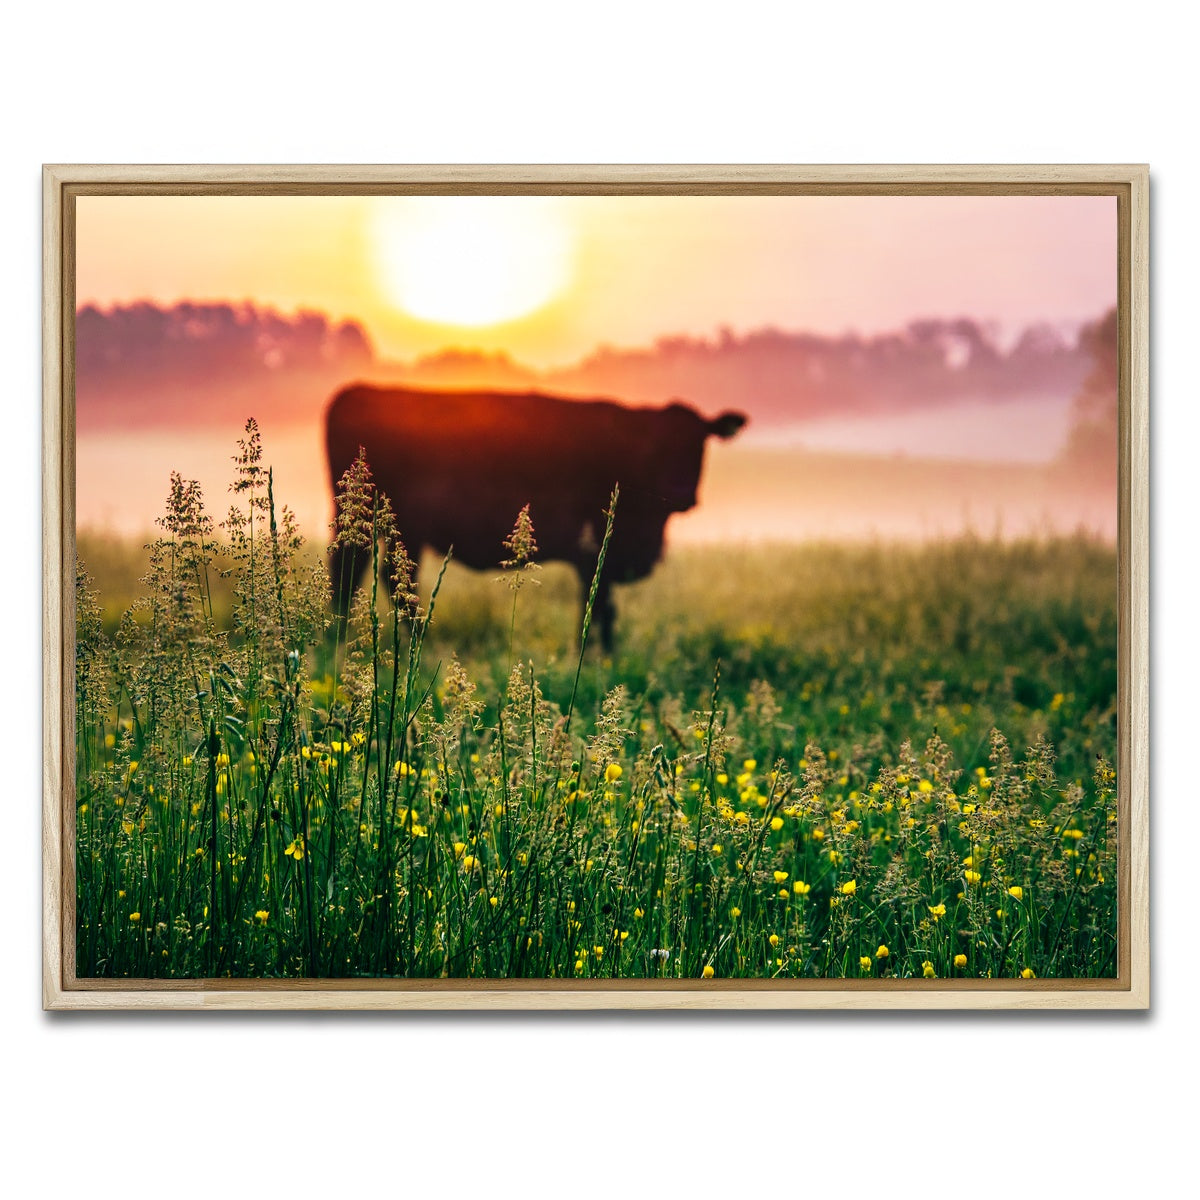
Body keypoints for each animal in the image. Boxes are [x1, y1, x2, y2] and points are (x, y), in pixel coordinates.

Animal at [325, 384, 747, 650]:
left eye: (700, 444)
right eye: (658, 446)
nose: (683, 493)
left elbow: (602, 607)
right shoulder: (596, 551)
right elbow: (599, 606)